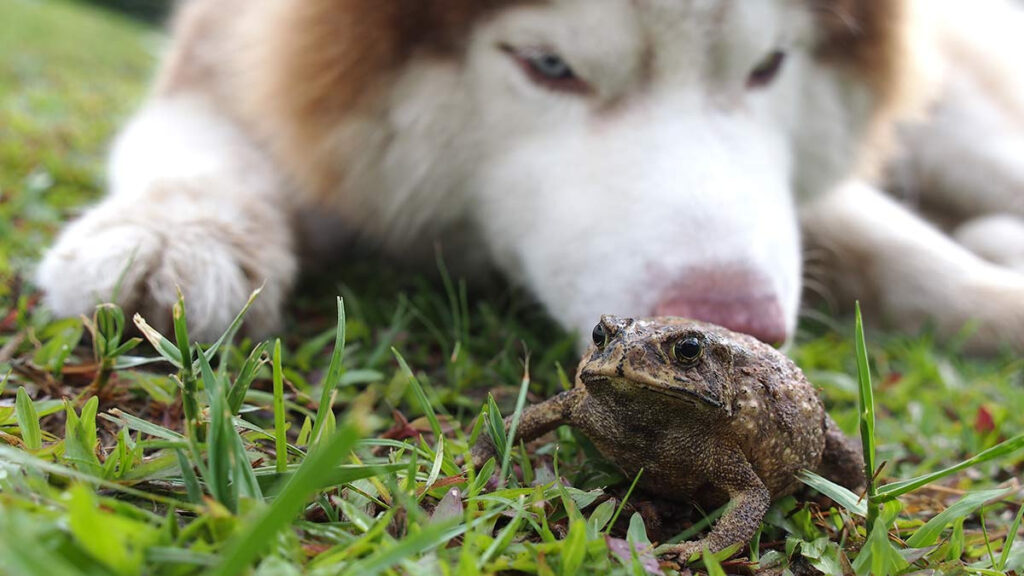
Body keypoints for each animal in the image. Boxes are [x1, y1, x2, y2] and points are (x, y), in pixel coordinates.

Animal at [37, 0, 1024, 352]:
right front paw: (173, 233)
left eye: (768, 66)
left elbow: (903, 250)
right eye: (550, 66)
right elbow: (199, 152)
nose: (736, 328)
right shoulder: (230, 62)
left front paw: (996, 301)